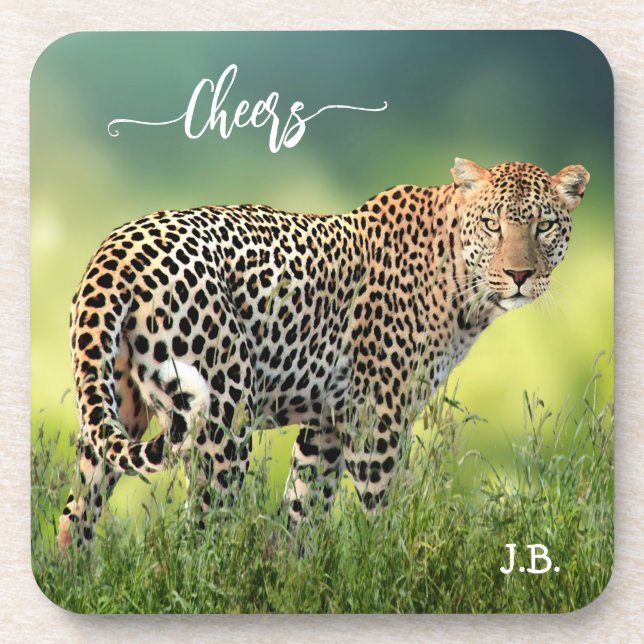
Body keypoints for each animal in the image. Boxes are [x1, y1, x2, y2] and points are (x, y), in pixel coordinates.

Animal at [57, 158, 590, 552]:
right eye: (493, 225)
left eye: (544, 226)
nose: (519, 275)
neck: (463, 285)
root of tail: (117, 249)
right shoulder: (375, 419)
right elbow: (382, 516)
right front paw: (390, 574)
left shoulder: (329, 423)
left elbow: (302, 512)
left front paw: (289, 579)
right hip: (223, 418)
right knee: (199, 533)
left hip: (117, 410)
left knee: (75, 514)